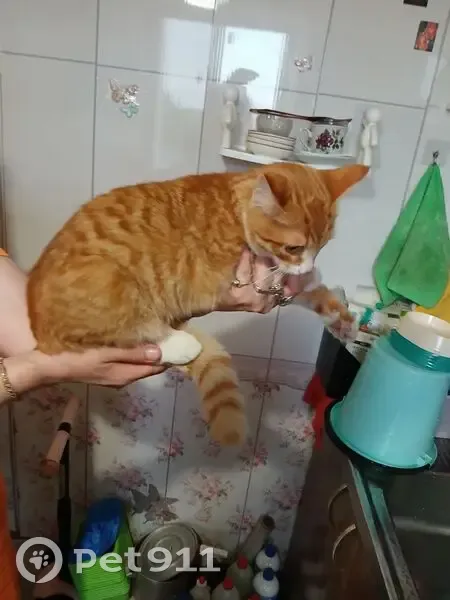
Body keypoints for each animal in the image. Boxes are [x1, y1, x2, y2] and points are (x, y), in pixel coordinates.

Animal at [27, 162, 369, 446]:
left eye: (322, 246)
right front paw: (304, 278)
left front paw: (339, 317)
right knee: (127, 329)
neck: (235, 208)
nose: (308, 264)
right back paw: (179, 343)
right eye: (294, 247)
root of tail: (37, 324)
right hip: (109, 284)